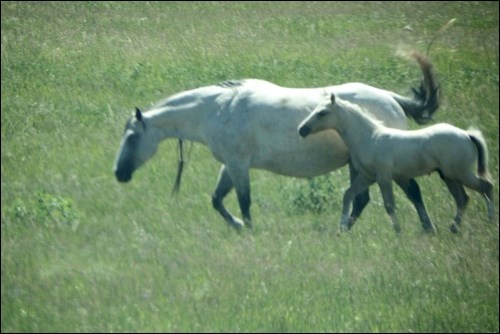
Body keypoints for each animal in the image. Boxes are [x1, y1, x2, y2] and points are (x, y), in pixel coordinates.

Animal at [113, 52, 438, 230]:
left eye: (132, 137)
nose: (118, 173)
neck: (218, 108)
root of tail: (391, 98)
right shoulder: (229, 166)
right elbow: (217, 200)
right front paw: (238, 226)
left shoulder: (238, 165)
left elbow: (243, 202)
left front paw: (246, 228)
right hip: (358, 166)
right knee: (361, 200)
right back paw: (346, 228)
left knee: (411, 192)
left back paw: (427, 228)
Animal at [296, 92, 492, 231]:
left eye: (322, 112)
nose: (302, 129)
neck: (370, 137)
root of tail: (467, 134)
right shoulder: (368, 177)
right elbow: (348, 195)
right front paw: (342, 227)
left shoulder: (384, 177)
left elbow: (389, 205)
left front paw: (398, 231)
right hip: (450, 176)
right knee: (463, 199)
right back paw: (454, 228)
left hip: (460, 173)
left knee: (486, 187)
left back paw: (490, 221)